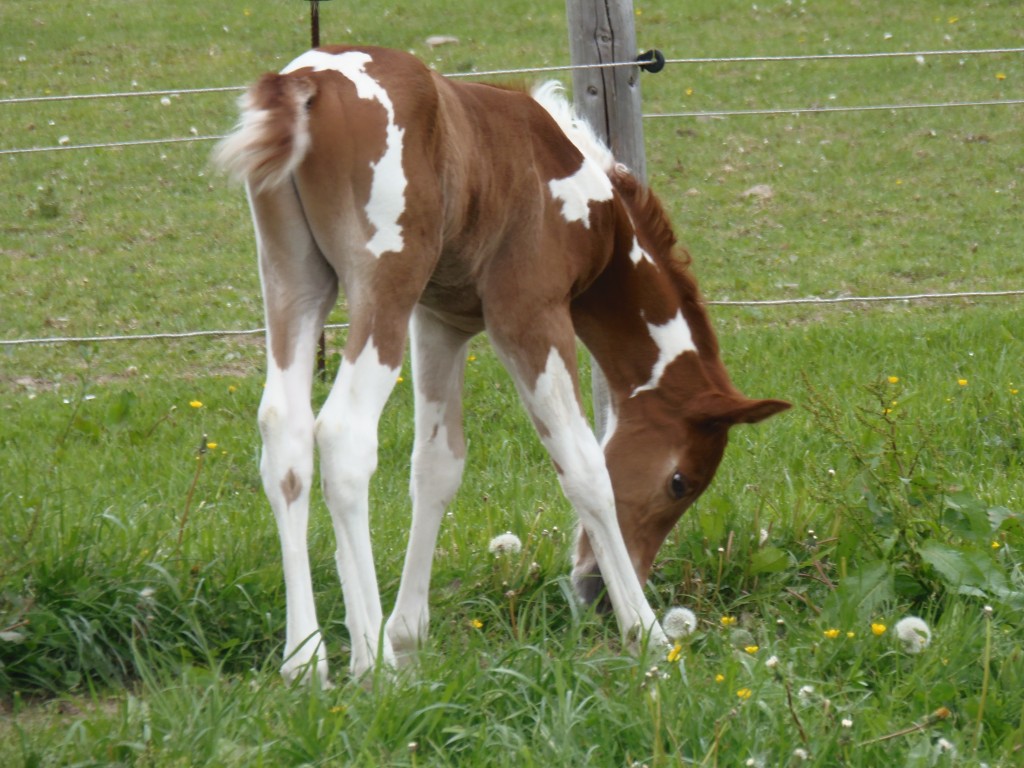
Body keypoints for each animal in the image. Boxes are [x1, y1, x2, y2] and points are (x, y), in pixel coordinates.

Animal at [216, 46, 786, 684]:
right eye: (680, 481)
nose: (595, 594)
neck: (586, 200)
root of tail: (307, 82)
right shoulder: (529, 314)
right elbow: (584, 468)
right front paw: (648, 634)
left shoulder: (441, 323)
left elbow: (437, 467)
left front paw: (408, 635)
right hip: (382, 284)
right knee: (344, 434)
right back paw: (371, 664)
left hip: (294, 281)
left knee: (284, 432)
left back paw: (305, 661)